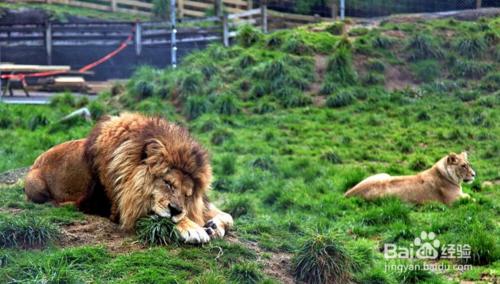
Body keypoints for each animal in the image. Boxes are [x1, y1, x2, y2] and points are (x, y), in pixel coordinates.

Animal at [84, 114, 234, 243]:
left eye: (187, 195)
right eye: (167, 183)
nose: (175, 211)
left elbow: (229, 216)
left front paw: (213, 227)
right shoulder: (123, 207)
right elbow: (163, 216)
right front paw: (193, 229)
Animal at [344, 152, 476, 205]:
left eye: (469, 164)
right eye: (463, 166)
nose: (474, 174)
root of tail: (347, 194)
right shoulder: (453, 201)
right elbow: (471, 198)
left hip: (384, 174)